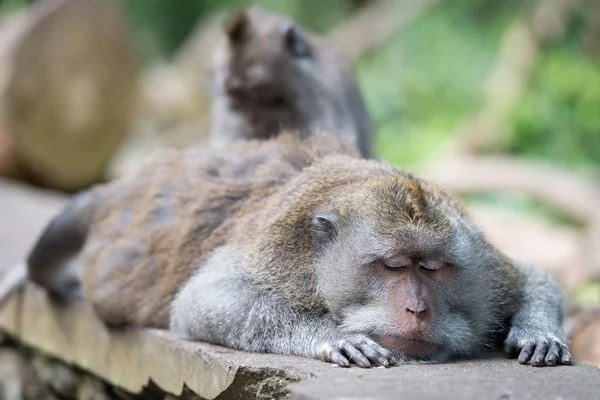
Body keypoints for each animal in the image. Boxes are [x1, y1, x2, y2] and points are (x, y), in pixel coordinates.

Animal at [1, 134, 572, 368]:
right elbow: (205, 301)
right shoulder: (281, 256)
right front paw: (333, 337)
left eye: (432, 268)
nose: (417, 308)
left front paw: (539, 332)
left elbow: (530, 275)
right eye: (393, 265)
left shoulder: (485, 272)